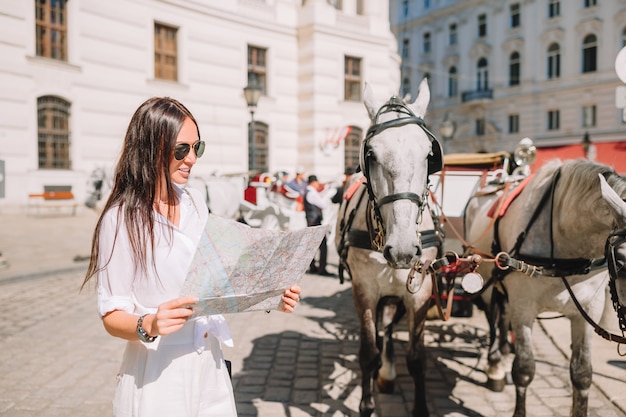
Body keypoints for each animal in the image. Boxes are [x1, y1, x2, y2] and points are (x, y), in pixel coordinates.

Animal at [334, 79, 442, 416]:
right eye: (370, 153)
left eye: (428, 154)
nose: (404, 249)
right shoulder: (365, 290)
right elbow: (368, 353)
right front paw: (367, 403)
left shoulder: (420, 293)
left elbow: (417, 359)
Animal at [460, 158, 624, 414]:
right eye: (622, 261)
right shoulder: (523, 307)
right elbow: (524, 370)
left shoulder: (589, 310)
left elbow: (582, 373)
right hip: (487, 281)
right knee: (493, 317)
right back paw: (495, 364)